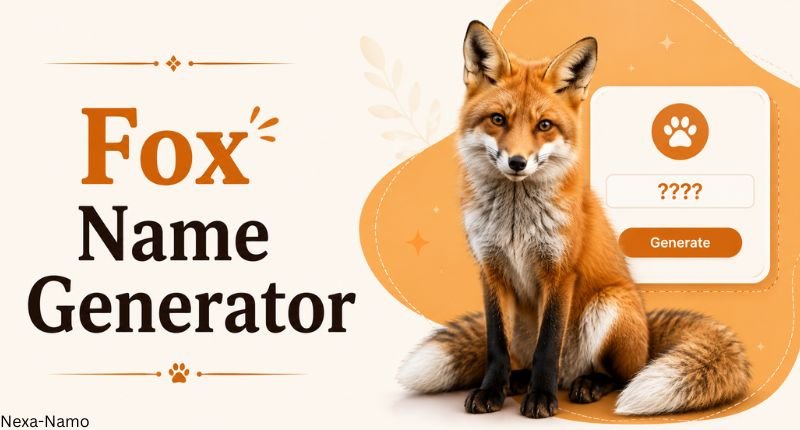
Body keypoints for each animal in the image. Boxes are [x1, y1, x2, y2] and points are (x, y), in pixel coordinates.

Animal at [396, 21, 751, 418]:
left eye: (544, 125)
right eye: (498, 119)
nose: (517, 162)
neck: (516, 222)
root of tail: (647, 332)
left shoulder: (560, 271)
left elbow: (549, 345)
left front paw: (541, 398)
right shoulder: (490, 270)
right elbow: (495, 345)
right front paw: (492, 390)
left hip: (608, 305)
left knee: (619, 374)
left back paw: (585, 384)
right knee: (527, 359)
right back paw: (518, 380)